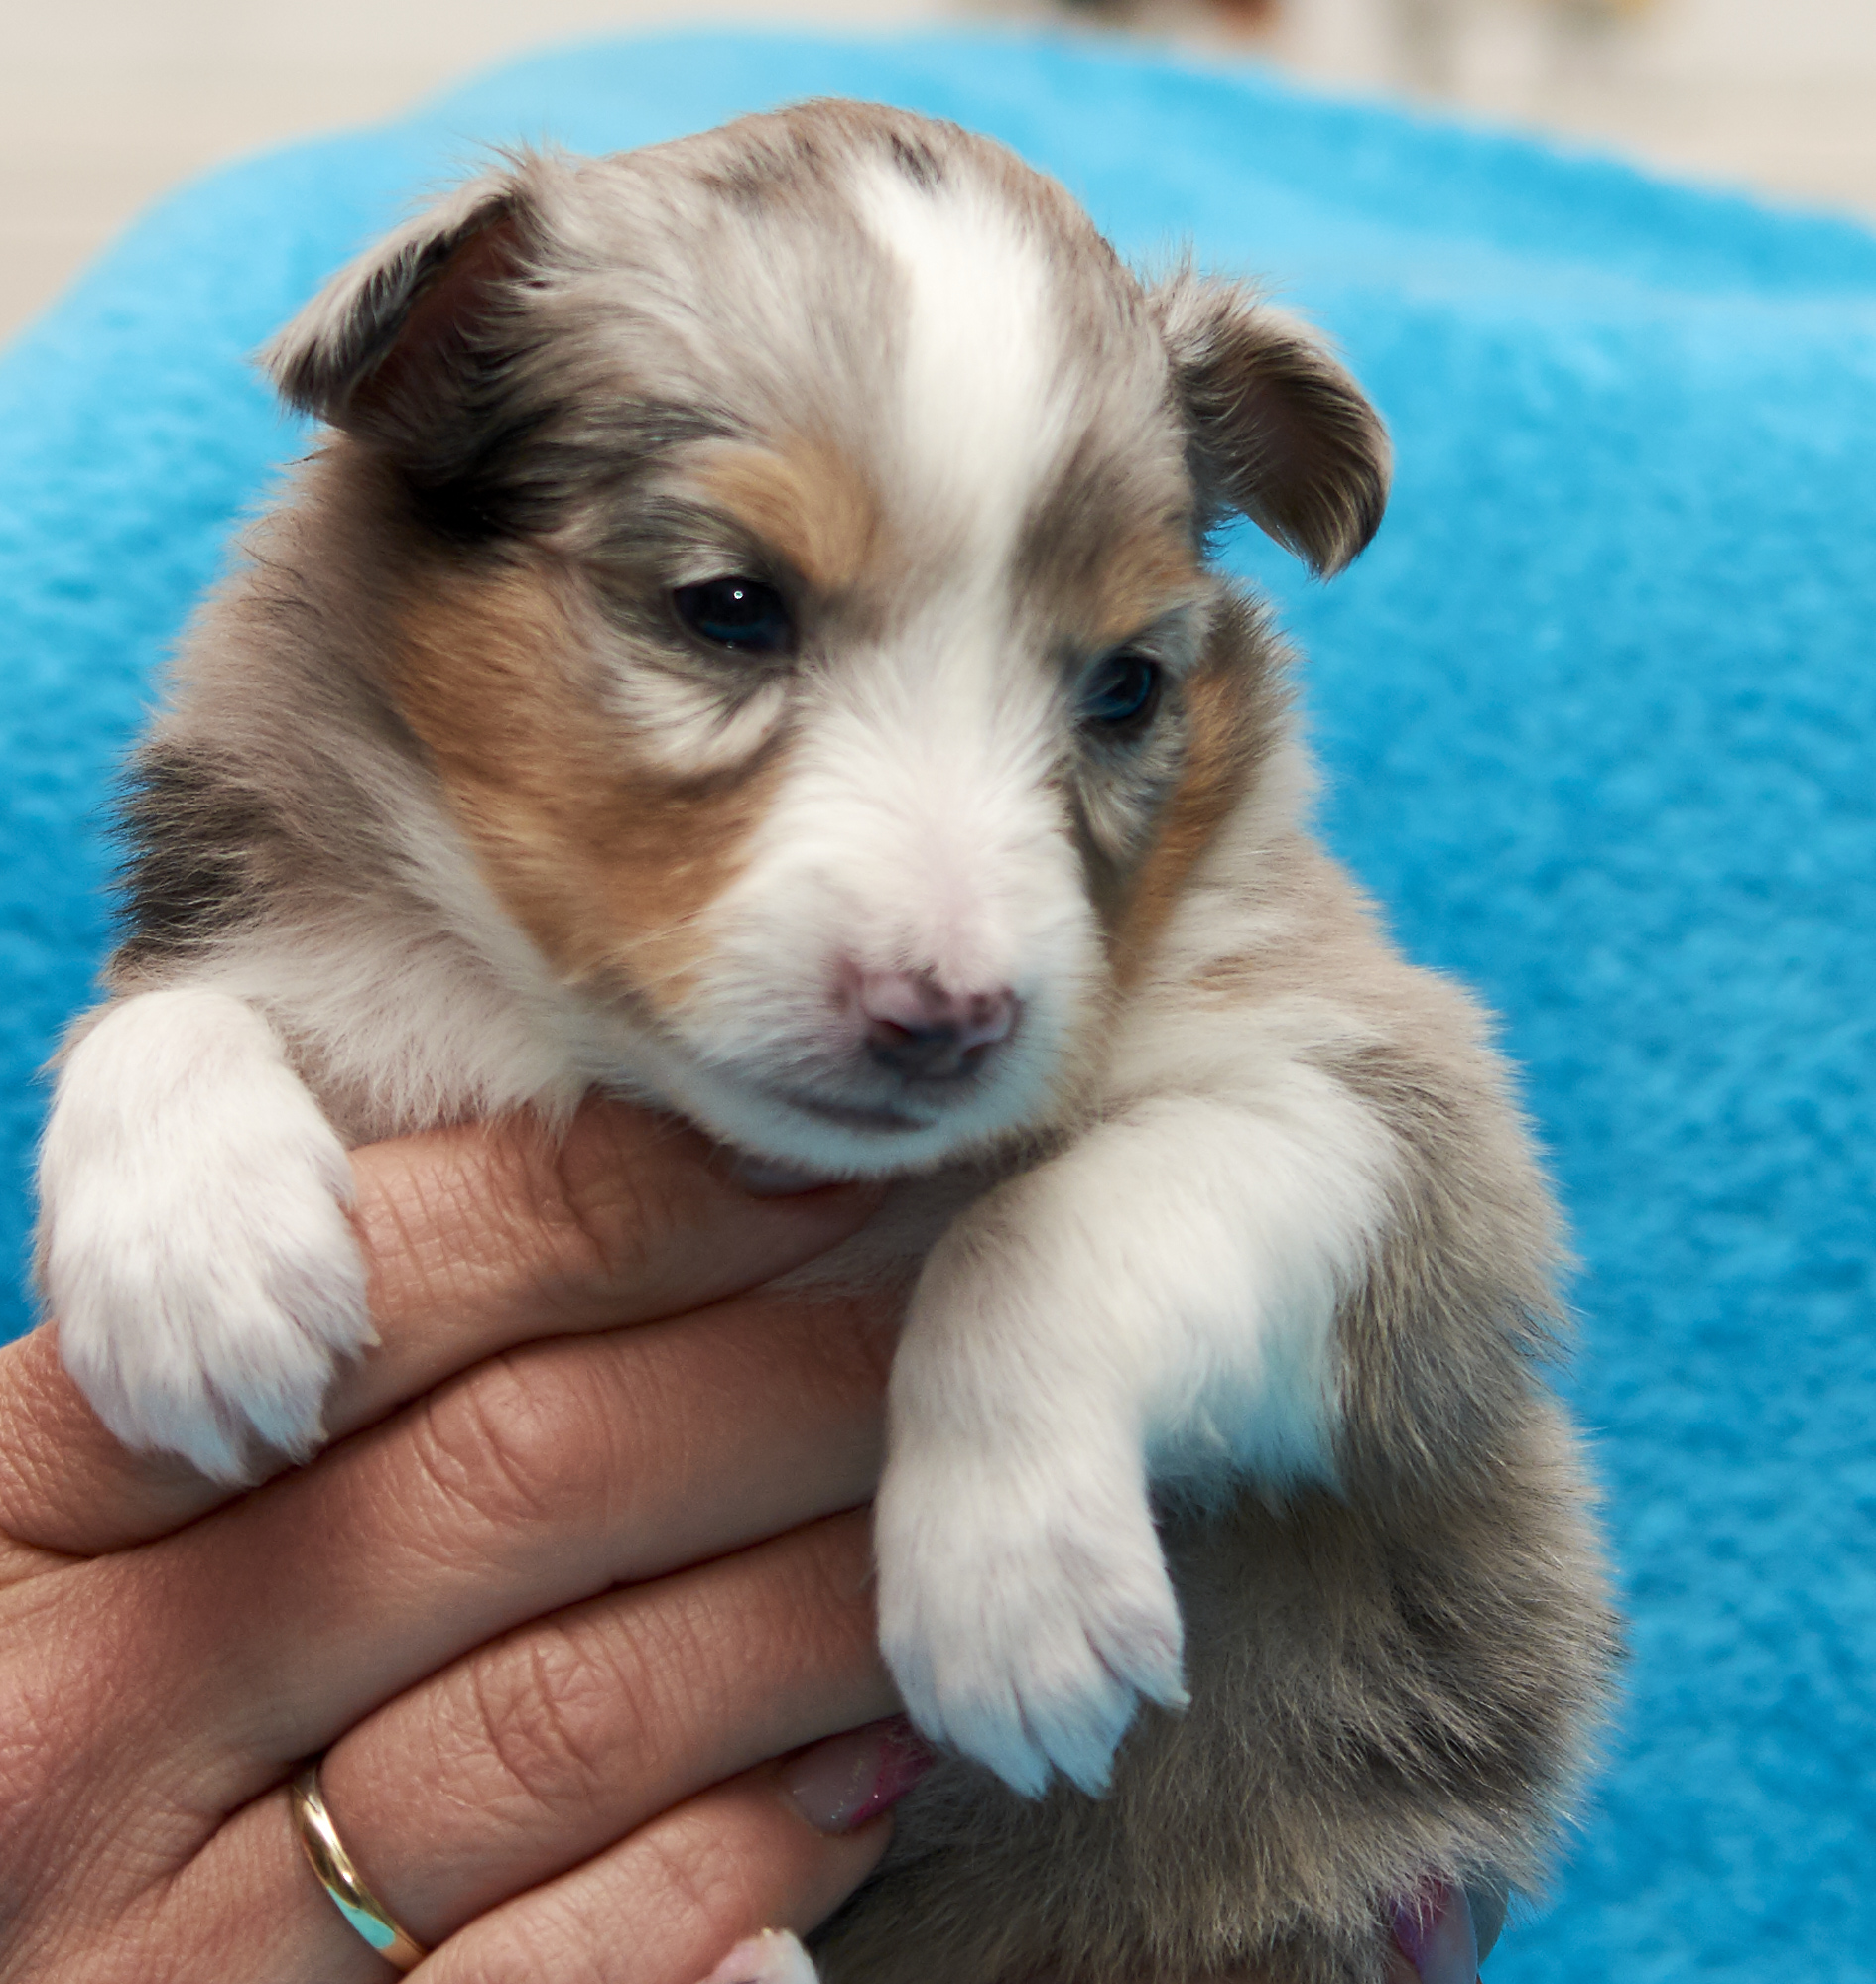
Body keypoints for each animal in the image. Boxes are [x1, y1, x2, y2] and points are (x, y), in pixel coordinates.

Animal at [35, 102, 1614, 1984]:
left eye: (1125, 688)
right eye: (729, 606)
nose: (950, 1019)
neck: (616, 1058)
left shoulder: (1392, 1124)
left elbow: (1050, 1223)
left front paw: (1010, 1586)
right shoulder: (312, 951)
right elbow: (163, 1014)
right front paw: (190, 1273)